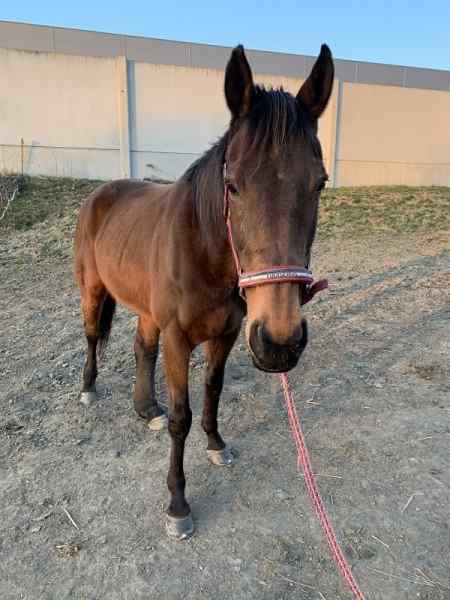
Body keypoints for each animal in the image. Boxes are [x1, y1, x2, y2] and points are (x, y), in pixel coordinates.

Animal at [74, 43, 334, 540]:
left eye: (320, 183)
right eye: (233, 186)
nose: (280, 342)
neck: (203, 249)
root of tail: (101, 193)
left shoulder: (229, 332)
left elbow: (212, 389)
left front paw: (216, 443)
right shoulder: (180, 338)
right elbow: (182, 417)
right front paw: (178, 504)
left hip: (146, 309)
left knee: (142, 347)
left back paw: (145, 408)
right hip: (93, 290)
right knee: (94, 336)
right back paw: (89, 390)